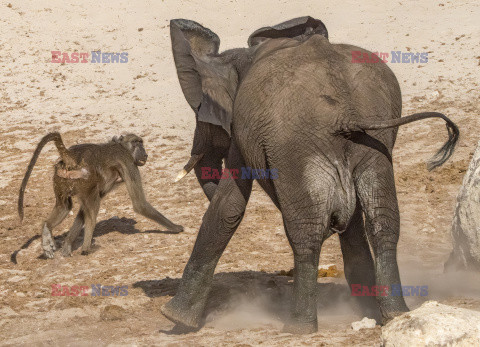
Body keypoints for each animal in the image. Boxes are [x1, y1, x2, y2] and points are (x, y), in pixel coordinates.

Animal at [163, 16, 460, 334]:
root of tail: (346, 112)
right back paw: (394, 313)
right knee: (383, 220)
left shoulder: (243, 134)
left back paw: (299, 327)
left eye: (202, 115)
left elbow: (228, 207)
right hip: (375, 141)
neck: (234, 57)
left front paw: (173, 318)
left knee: (306, 232)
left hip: (296, 146)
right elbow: (354, 221)